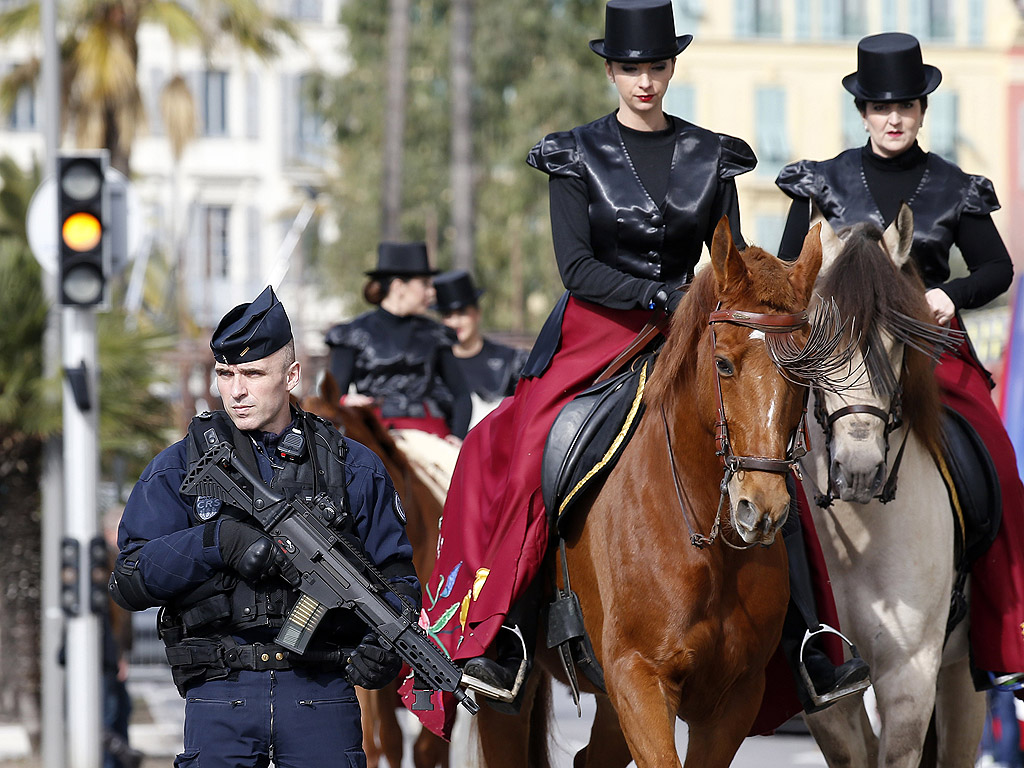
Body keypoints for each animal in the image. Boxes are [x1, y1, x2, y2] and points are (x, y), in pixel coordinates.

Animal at [479, 218, 831, 768]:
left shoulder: (734, 698)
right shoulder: (638, 677)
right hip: (512, 703)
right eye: (723, 365)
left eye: (803, 370)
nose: (761, 510)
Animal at [794, 205, 987, 768]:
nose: (859, 470)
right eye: (816, 337)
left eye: (899, 339)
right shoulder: (831, 691)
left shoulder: (910, 675)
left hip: (962, 677)